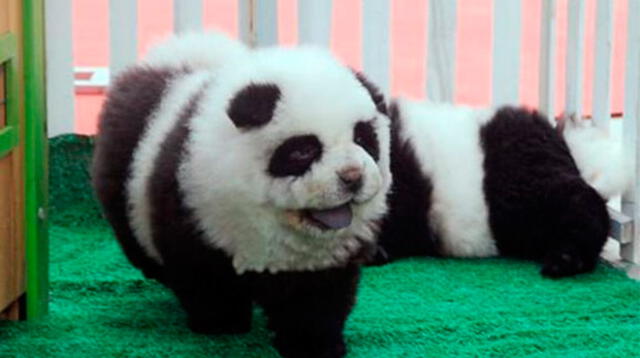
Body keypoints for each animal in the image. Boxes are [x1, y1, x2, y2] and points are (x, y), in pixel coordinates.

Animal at [90, 33, 390, 358]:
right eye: (304, 150)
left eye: (362, 139)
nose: (353, 177)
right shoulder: (197, 204)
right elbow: (205, 274)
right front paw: (220, 323)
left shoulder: (324, 255)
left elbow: (316, 297)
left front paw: (316, 343)